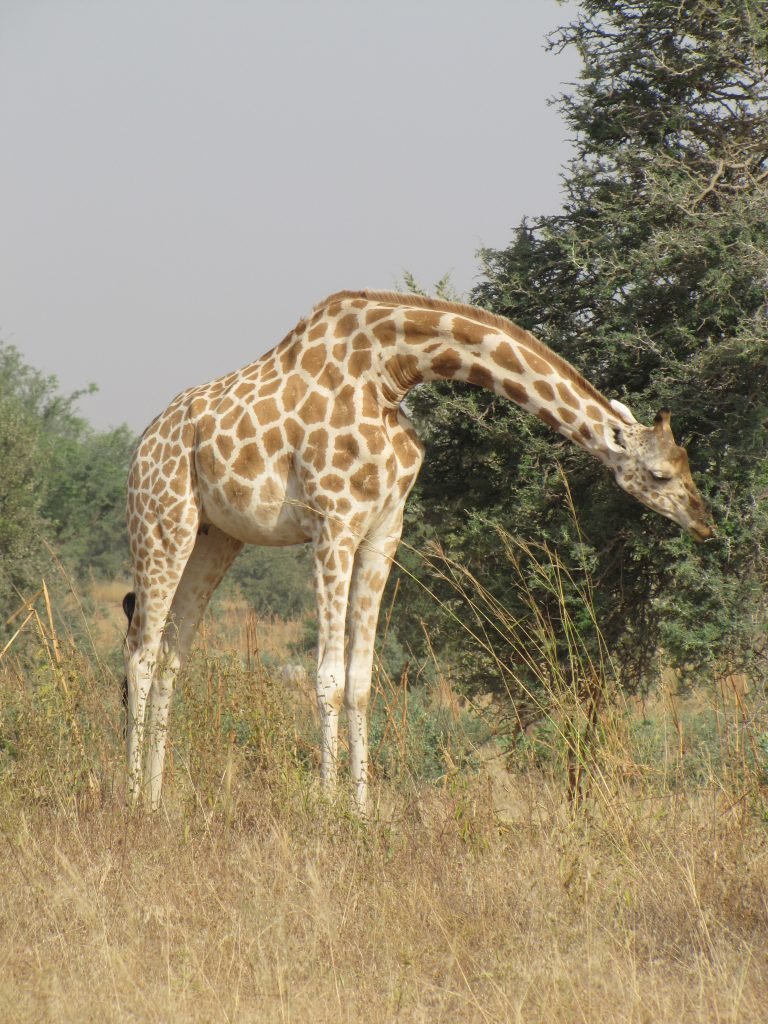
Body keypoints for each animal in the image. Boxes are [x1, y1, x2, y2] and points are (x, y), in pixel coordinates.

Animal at [121, 292, 716, 811]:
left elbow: (362, 680)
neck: (390, 373)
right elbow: (328, 679)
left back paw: (156, 800)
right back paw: (129, 802)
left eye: (686, 463)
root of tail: (144, 443)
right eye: (660, 473)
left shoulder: (384, 530)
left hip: (216, 537)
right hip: (162, 523)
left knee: (171, 654)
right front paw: (326, 811)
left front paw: (361, 813)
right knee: (140, 653)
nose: (705, 522)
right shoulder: (333, 525)